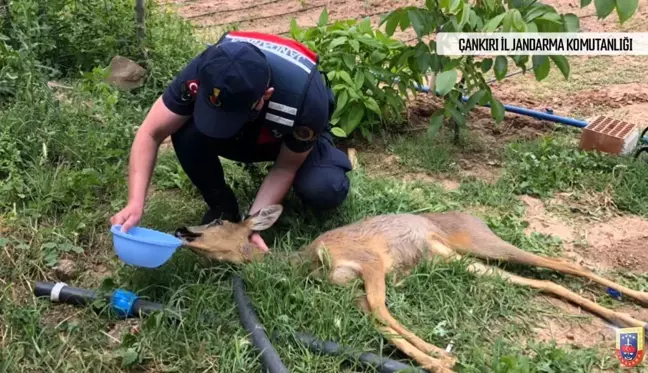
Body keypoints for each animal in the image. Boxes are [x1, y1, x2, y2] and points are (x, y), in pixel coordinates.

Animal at [173, 205, 648, 370]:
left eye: (219, 220)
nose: (181, 230)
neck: (308, 261)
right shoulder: (352, 291)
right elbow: (380, 322)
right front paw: (437, 360)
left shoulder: (369, 261)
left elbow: (384, 312)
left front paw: (440, 355)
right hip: (462, 261)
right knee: (541, 281)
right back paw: (623, 316)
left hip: (481, 243)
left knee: (561, 262)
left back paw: (634, 305)